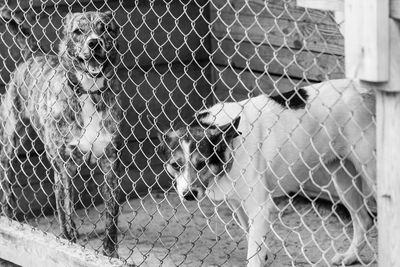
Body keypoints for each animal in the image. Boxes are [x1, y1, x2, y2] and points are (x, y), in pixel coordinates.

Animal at [0, 7, 122, 258]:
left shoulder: (110, 164)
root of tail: (32, 54)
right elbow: (64, 212)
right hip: (12, 139)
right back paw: (9, 215)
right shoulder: (63, 166)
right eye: (78, 32)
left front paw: (110, 252)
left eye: (105, 28)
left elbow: (111, 215)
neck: (88, 92)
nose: (94, 43)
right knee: (6, 175)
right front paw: (69, 243)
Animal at [155, 79, 376, 266]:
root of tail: (361, 89)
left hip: (369, 173)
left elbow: (253, 251)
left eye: (201, 163)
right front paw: (264, 253)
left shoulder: (260, 207)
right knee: (363, 220)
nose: (188, 195)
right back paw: (350, 257)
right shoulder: (238, 204)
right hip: (343, 179)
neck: (232, 144)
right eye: (175, 165)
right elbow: (251, 234)